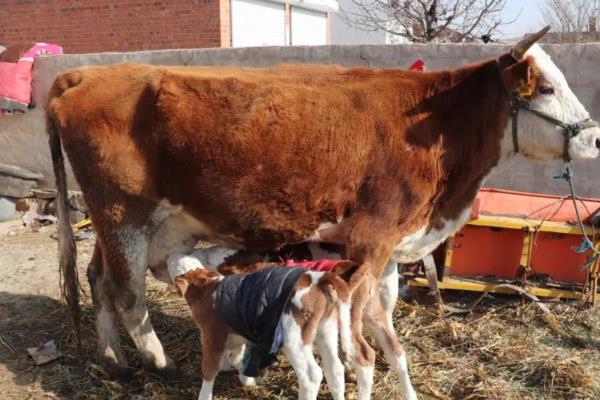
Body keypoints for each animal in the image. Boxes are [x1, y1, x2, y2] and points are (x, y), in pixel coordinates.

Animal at [47, 28, 600, 378]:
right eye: (545, 87)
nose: (593, 138)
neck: (433, 125)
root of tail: (86, 75)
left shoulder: (391, 246)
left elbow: (384, 305)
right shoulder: (370, 238)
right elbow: (357, 311)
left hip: (119, 221)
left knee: (98, 278)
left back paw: (114, 359)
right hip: (124, 213)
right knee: (127, 291)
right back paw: (157, 361)